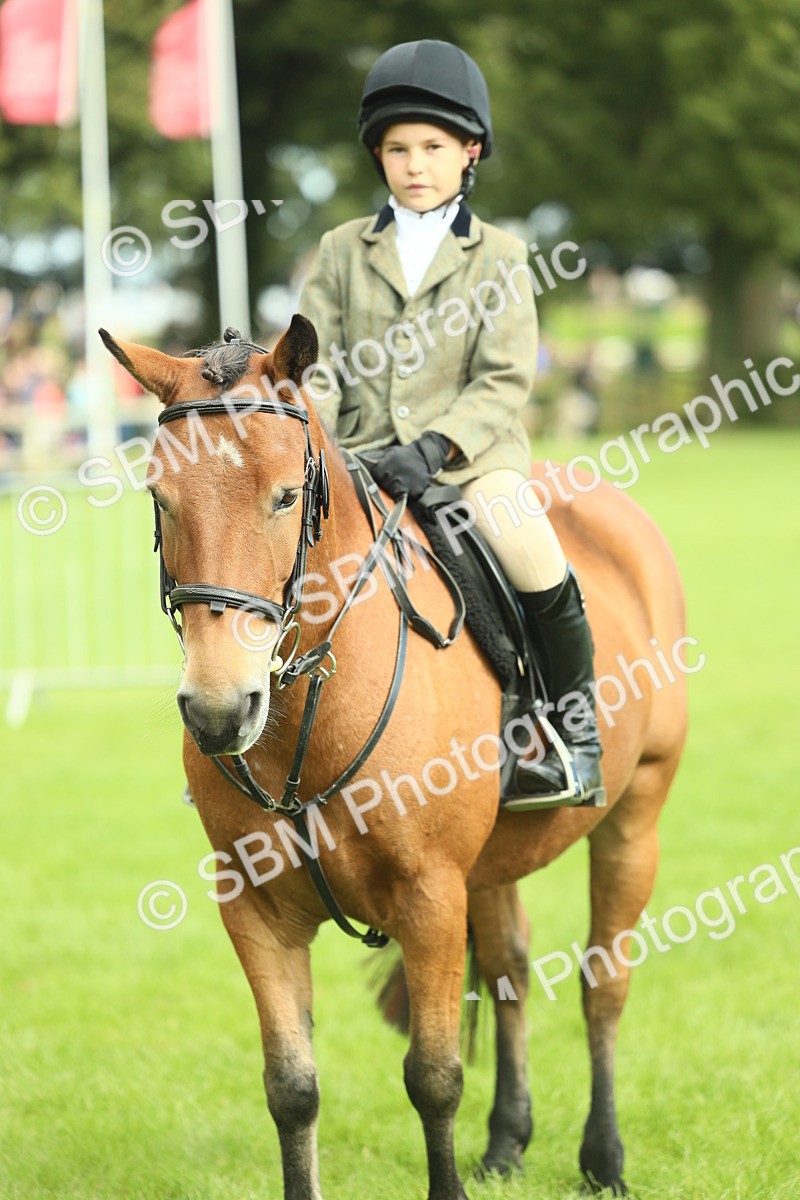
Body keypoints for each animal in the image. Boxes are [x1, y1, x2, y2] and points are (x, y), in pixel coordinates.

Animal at [101, 316, 687, 1200]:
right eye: (161, 500)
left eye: (285, 496)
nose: (217, 710)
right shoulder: (254, 909)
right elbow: (292, 1088)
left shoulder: (430, 897)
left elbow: (434, 1077)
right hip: (494, 864)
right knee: (510, 970)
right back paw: (507, 1143)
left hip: (636, 816)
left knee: (603, 983)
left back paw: (604, 1158)